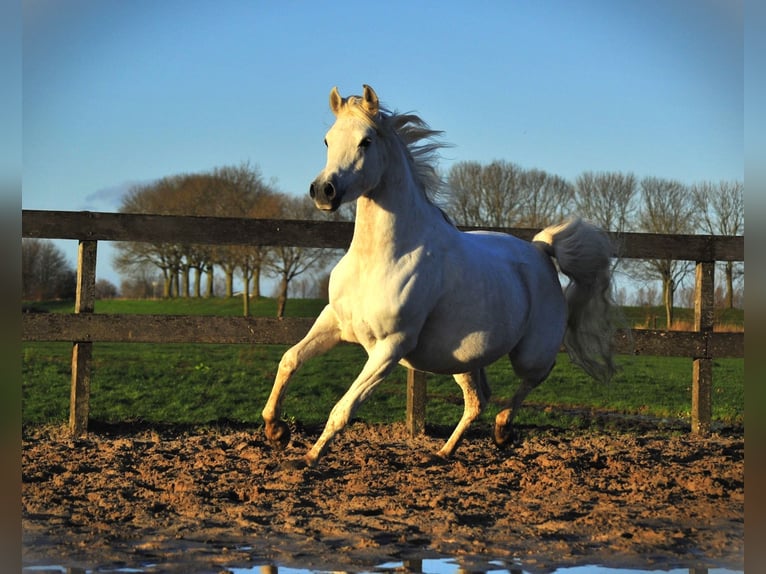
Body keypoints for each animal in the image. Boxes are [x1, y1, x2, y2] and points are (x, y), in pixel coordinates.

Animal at [264, 86, 616, 472]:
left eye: (366, 141)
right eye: (327, 140)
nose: (323, 190)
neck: (381, 258)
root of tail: (540, 250)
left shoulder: (390, 347)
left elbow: (344, 408)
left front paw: (307, 457)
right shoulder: (335, 323)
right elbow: (290, 360)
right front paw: (276, 431)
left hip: (530, 351)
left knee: (534, 377)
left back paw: (503, 432)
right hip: (461, 358)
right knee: (478, 400)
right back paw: (443, 452)